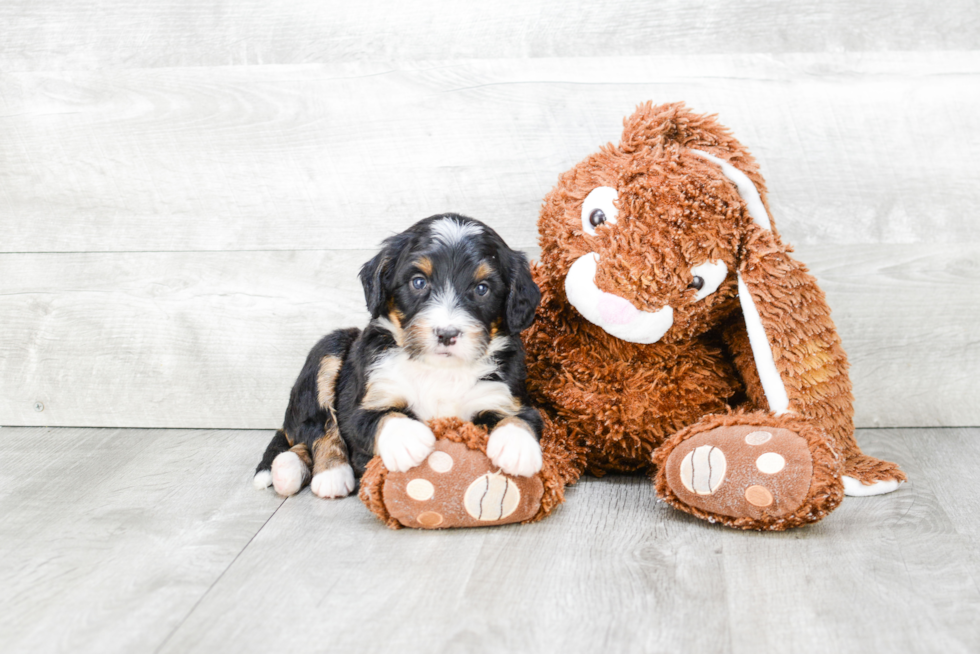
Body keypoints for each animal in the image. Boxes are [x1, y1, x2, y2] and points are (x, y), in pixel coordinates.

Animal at [253, 213, 544, 500]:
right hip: (330, 348)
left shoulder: (507, 397)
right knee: (315, 427)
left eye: (482, 288)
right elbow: (382, 416)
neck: (440, 370)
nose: (446, 334)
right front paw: (407, 440)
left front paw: (517, 448)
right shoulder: (363, 404)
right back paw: (322, 473)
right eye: (419, 282)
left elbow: (519, 418)